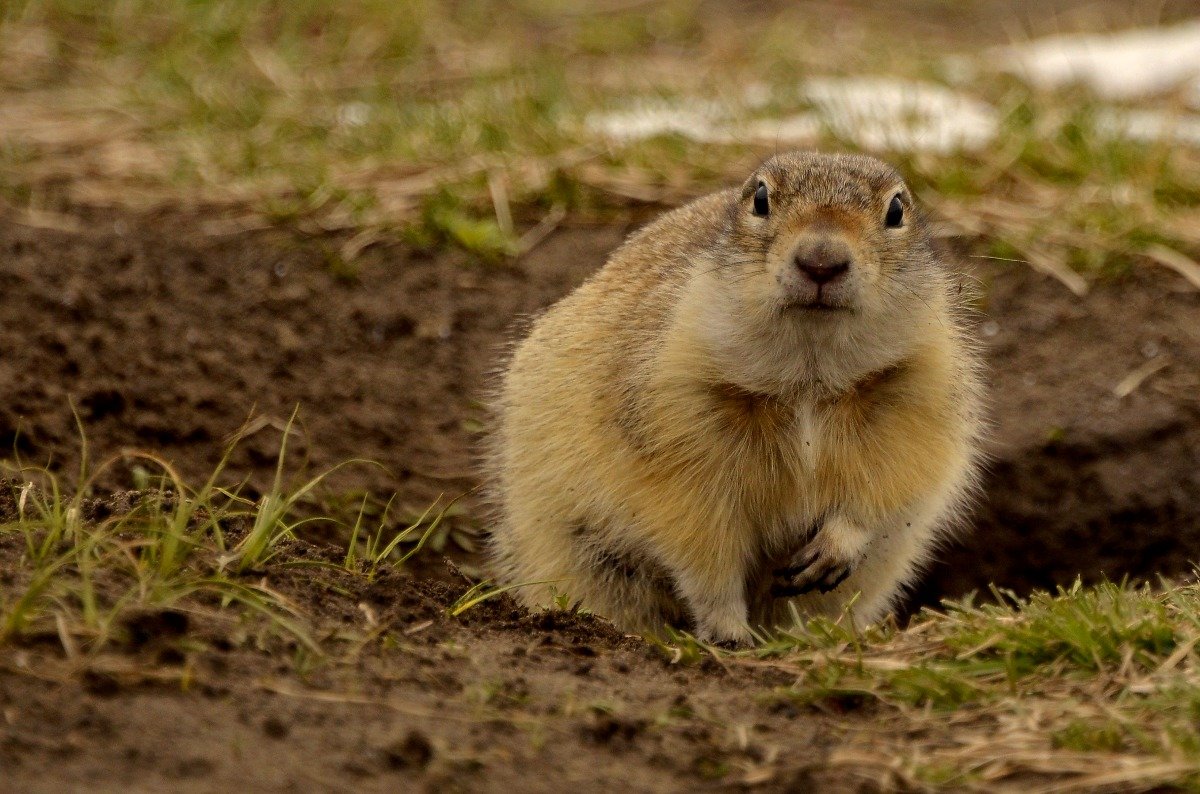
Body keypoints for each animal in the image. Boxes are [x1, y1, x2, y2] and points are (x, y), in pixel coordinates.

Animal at [484, 151, 984, 647]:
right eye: (760, 198)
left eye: (896, 210)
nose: (821, 261)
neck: (809, 376)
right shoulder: (675, 406)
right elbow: (703, 541)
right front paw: (727, 630)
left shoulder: (916, 386)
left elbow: (893, 474)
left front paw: (833, 548)